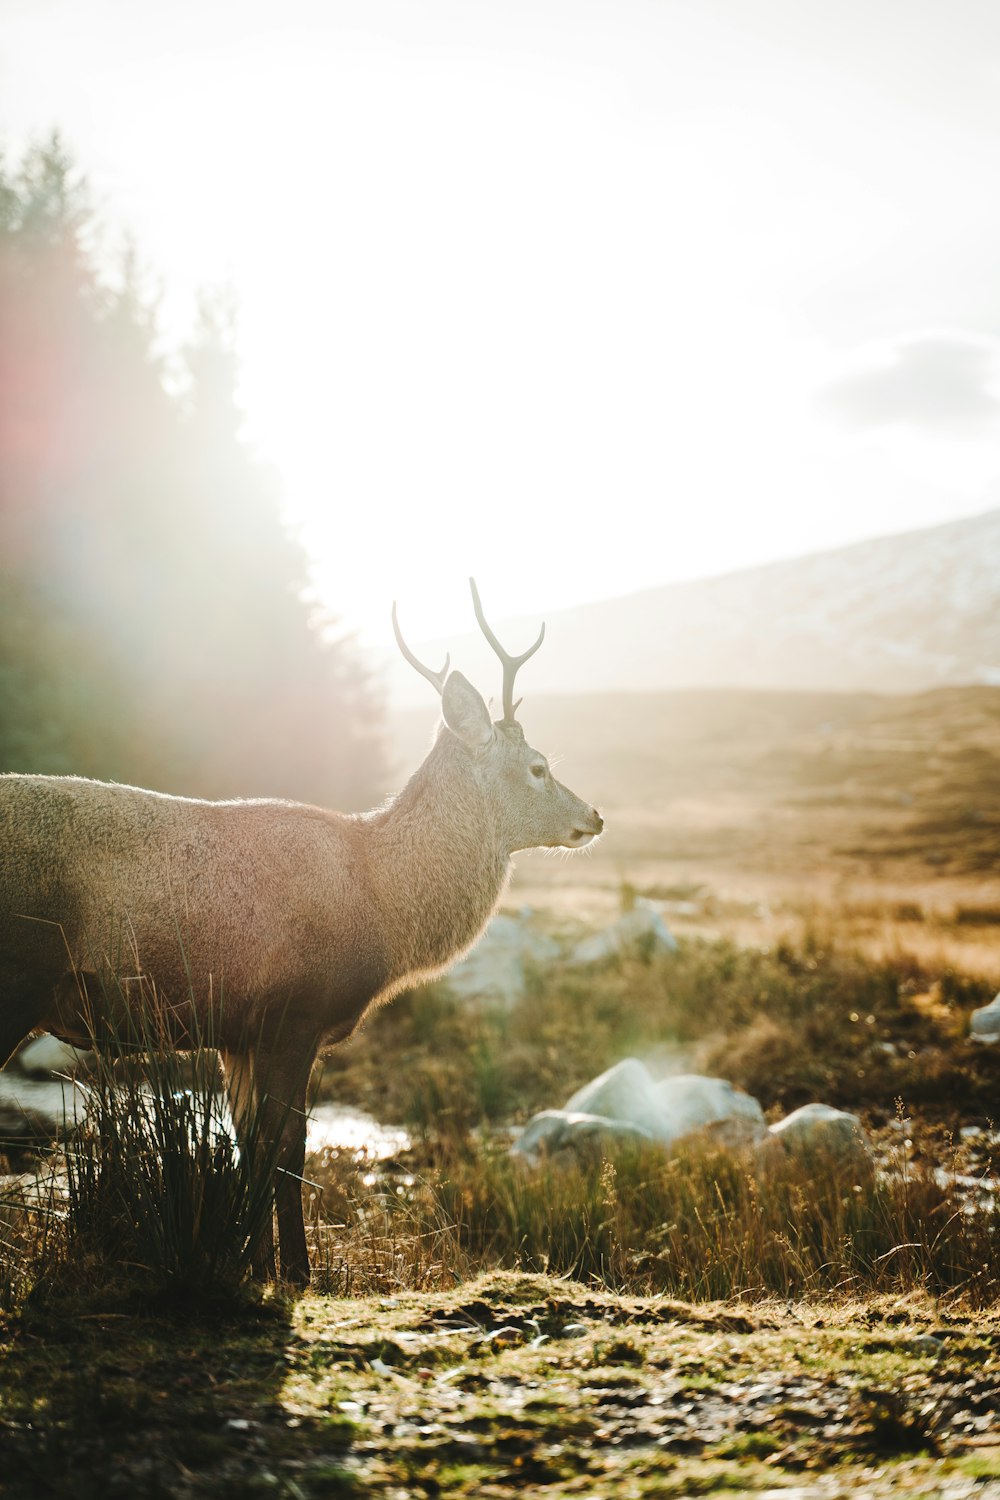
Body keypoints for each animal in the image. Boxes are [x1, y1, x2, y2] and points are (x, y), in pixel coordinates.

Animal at [0, 579, 602, 1284]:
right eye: (538, 766)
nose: (594, 816)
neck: (380, 901)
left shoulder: (239, 1032)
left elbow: (246, 1143)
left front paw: (251, 1263)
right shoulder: (296, 1012)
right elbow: (288, 1146)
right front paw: (297, 1271)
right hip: (19, 975)